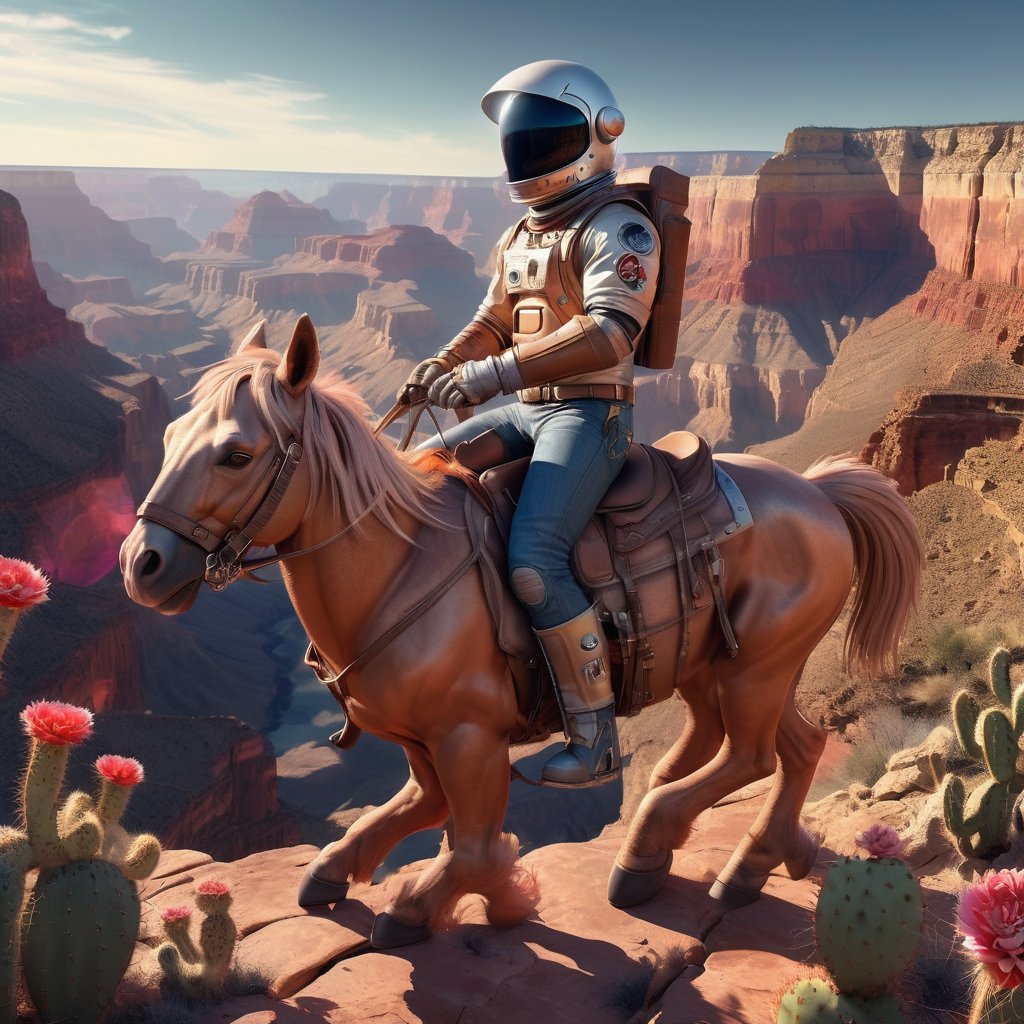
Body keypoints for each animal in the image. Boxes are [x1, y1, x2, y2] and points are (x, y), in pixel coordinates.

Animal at [117, 315, 921, 946]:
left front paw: (429, 904)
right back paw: (760, 859)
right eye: (167, 433)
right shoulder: (420, 742)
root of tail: (816, 490)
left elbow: (471, 848)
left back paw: (649, 850)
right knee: (794, 744)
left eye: (236, 454)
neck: (397, 565)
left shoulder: (471, 736)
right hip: (725, 665)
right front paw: (334, 867)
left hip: (755, 667)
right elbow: (415, 809)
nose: (140, 565)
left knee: (749, 756)